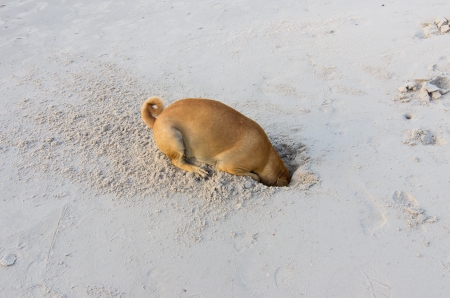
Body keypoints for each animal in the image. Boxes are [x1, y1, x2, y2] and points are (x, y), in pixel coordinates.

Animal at [141, 97, 290, 186]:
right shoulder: (229, 166)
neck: (267, 155)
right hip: (174, 137)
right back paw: (196, 169)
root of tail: (157, 120)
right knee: (177, 162)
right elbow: (256, 177)